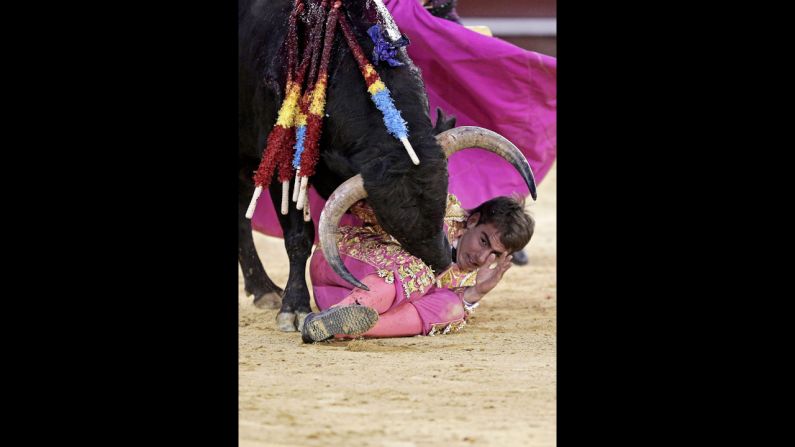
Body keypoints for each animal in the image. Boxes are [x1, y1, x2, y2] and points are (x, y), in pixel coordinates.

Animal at [238, 0, 536, 330]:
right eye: (389, 222)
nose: (444, 262)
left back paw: (262, 288)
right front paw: (294, 308)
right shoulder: (283, 165)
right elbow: (298, 236)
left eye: (442, 204)